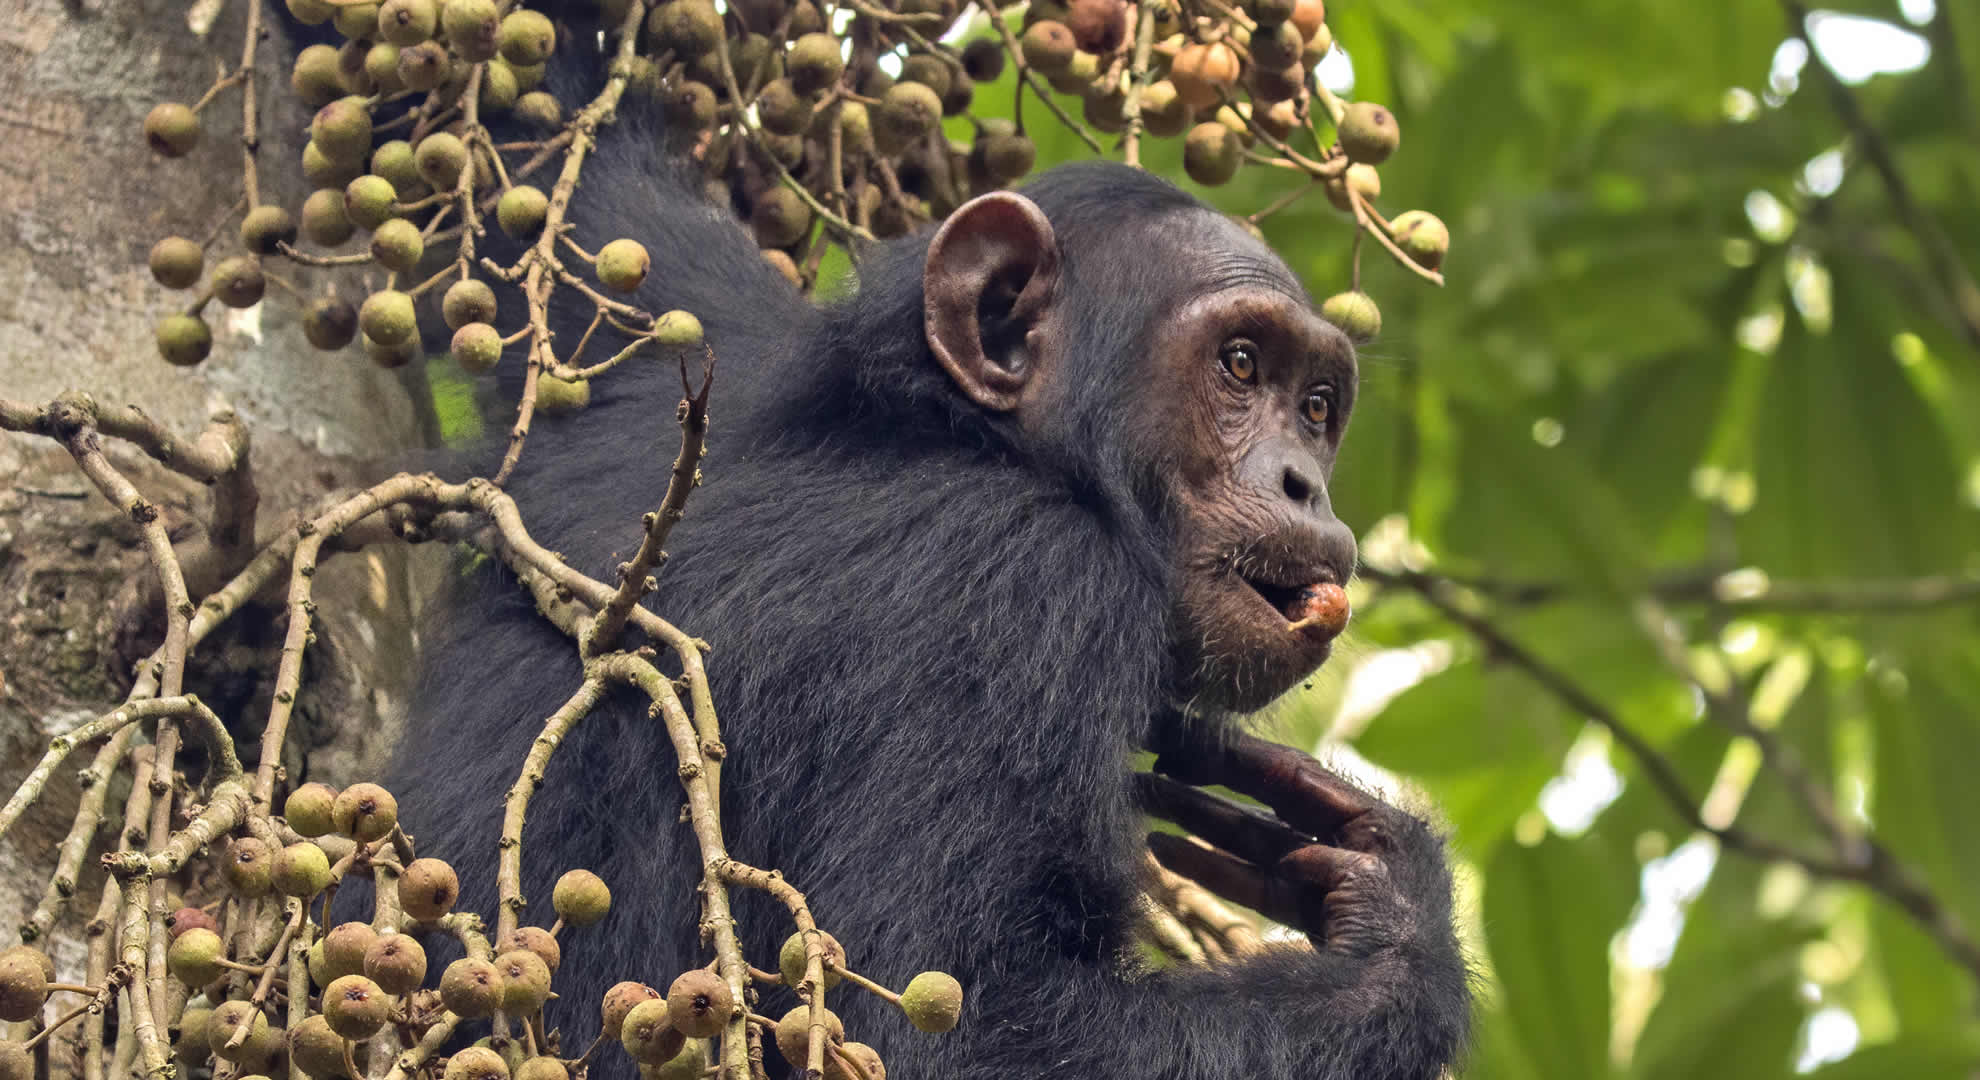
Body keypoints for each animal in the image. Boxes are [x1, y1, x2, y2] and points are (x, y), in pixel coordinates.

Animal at [390, 31, 1473, 1078]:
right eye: (1241, 365)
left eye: (1318, 406)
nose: (1304, 482)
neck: (952, 437)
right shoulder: (1026, 594)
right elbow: (960, 1018)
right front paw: (1397, 921)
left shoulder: (687, 343)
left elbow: (544, 140)